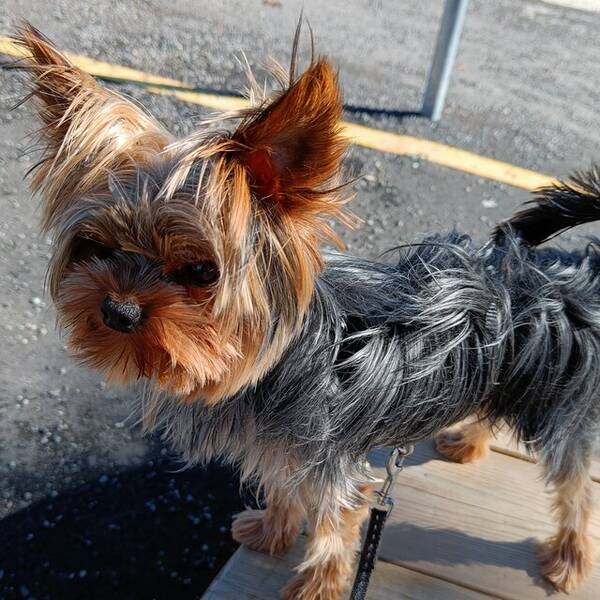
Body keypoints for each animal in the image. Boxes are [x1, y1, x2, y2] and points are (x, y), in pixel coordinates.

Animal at [16, 23, 596, 600]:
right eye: (94, 246)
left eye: (202, 270)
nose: (117, 311)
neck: (285, 358)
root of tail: (566, 264)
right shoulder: (283, 448)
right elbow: (281, 487)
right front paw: (272, 530)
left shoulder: (333, 467)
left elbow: (333, 530)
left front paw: (317, 586)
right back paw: (467, 439)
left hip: (563, 403)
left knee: (575, 487)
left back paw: (569, 557)